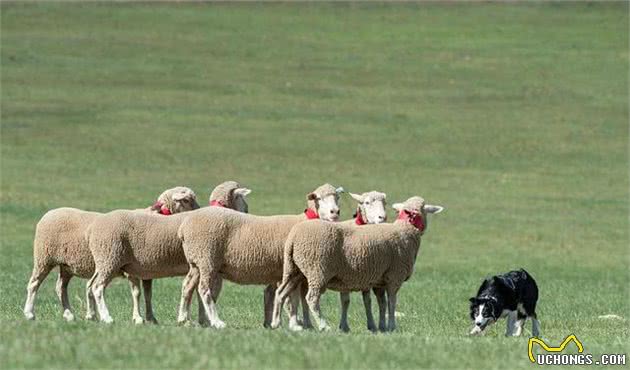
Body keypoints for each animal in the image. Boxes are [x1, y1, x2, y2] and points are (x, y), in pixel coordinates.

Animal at [23, 186, 199, 322]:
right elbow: (137, 293)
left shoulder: (146, 269)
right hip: (45, 258)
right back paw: (29, 313)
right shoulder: (133, 271)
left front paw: (151, 318)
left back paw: (69, 314)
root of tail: (48, 214)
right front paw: (138, 318)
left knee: (61, 287)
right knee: (34, 284)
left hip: (67, 266)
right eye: (186, 200)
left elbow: (148, 295)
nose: (199, 211)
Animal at [177, 184, 346, 330]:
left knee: (187, 286)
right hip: (207, 259)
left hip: (197, 262)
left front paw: (305, 325)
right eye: (319, 198)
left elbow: (299, 299)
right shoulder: (290, 271)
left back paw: (183, 318)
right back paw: (217, 322)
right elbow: (293, 299)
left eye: (337, 197)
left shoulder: (298, 273)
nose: (335, 212)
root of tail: (184, 227)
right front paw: (294, 324)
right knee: (204, 290)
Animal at [272, 197, 444, 332]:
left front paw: (381, 327)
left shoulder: (380, 280)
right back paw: (323, 325)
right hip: (317, 270)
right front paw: (391, 326)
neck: (405, 229)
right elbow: (392, 302)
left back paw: (275, 323)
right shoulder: (394, 276)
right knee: (312, 298)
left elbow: (382, 303)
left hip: (293, 269)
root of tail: (294, 236)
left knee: (280, 293)